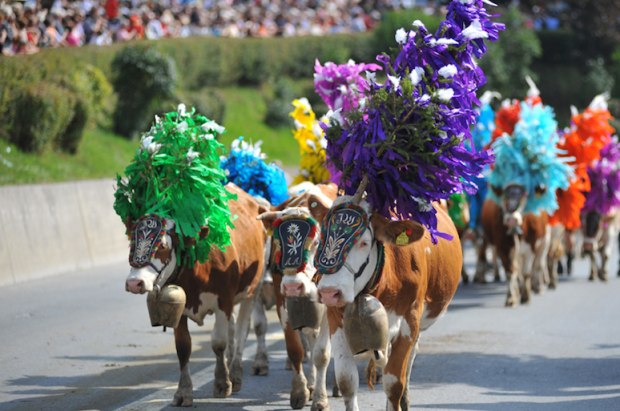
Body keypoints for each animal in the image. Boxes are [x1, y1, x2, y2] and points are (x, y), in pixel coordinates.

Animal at [124, 184, 266, 408]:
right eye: (132, 243)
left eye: (162, 246)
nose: (134, 283)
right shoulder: (178, 307)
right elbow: (183, 348)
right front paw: (183, 392)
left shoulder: (223, 301)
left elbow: (218, 343)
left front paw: (222, 383)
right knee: (234, 328)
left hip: (254, 288)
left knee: (243, 328)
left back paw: (235, 374)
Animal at [256, 184, 336, 411]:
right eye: (277, 242)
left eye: (317, 241)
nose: (293, 285)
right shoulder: (282, 301)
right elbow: (295, 350)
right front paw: (300, 391)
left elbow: (322, 354)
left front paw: (320, 399)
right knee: (309, 338)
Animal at [312, 192, 462, 411]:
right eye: (321, 238)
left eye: (364, 242)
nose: (330, 292)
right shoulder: (336, 318)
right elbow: (347, 380)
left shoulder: (409, 320)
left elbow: (394, 383)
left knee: (408, 361)